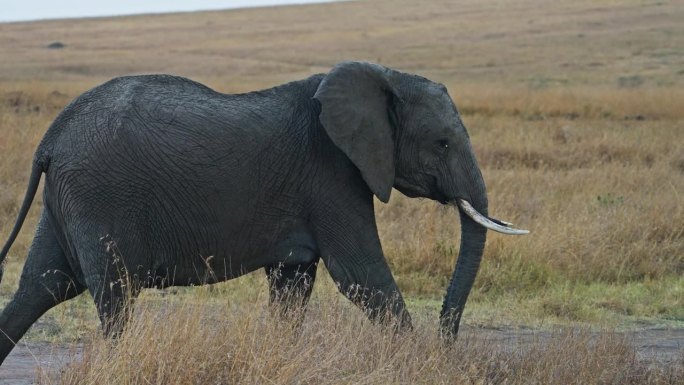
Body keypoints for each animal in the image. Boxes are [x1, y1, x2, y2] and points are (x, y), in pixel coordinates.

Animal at [0, 60, 528, 364]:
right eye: (442, 144)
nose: (446, 344)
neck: (385, 79)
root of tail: (50, 138)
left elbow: (293, 285)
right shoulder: (332, 175)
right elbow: (361, 275)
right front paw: (422, 365)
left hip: (68, 200)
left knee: (40, 286)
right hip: (98, 196)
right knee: (113, 297)